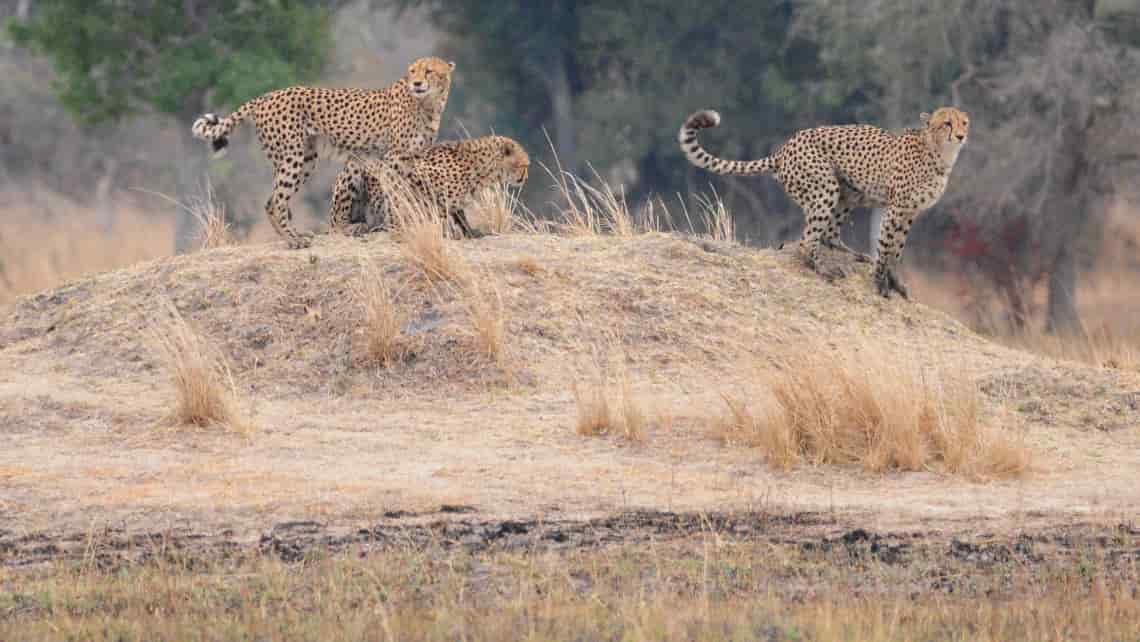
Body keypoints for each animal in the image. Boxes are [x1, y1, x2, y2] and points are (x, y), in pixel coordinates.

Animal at [191, 56, 453, 249]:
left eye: (429, 71)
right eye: (412, 71)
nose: (416, 83)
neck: (429, 104)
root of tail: (266, 96)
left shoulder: (411, 159)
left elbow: (410, 194)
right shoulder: (392, 159)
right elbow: (396, 196)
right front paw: (400, 227)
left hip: (306, 159)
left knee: (275, 200)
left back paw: (298, 234)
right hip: (296, 158)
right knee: (279, 203)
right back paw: (296, 240)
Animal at [326, 135, 528, 238]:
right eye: (524, 165)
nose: (525, 178)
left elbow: (458, 213)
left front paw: (470, 231)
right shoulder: (409, 170)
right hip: (355, 165)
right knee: (336, 225)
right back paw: (354, 227)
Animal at [674, 106, 971, 298]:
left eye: (964, 122)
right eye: (947, 123)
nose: (961, 135)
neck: (938, 152)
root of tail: (784, 148)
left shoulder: (909, 212)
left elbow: (897, 249)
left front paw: (896, 281)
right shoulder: (895, 209)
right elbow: (886, 246)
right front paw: (880, 282)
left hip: (848, 192)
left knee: (828, 234)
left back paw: (852, 254)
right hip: (825, 187)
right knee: (807, 240)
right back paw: (824, 269)